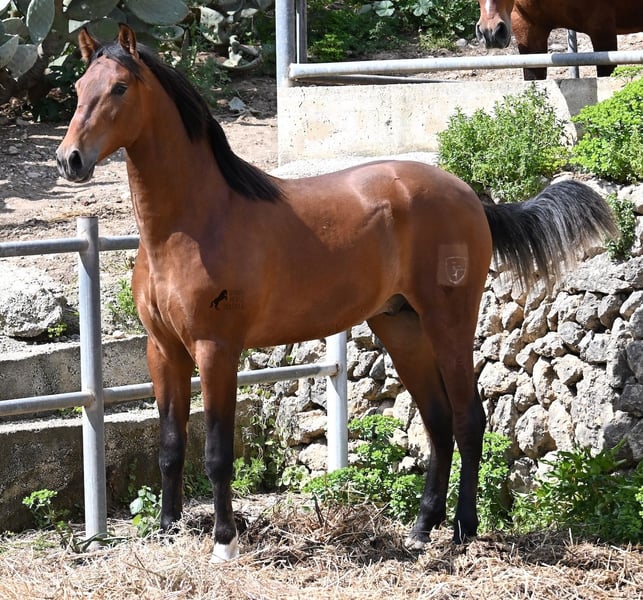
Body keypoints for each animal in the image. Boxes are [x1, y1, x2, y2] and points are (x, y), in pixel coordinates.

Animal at [56, 24, 617, 562]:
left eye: (120, 88)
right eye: (80, 89)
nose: (70, 160)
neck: (191, 225)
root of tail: (470, 196)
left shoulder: (217, 350)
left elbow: (216, 452)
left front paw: (224, 542)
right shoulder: (164, 350)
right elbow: (171, 445)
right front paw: (168, 529)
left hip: (448, 322)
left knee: (468, 419)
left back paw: (462, 531)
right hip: (401, 326)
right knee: (437, 421)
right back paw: (421, 530)